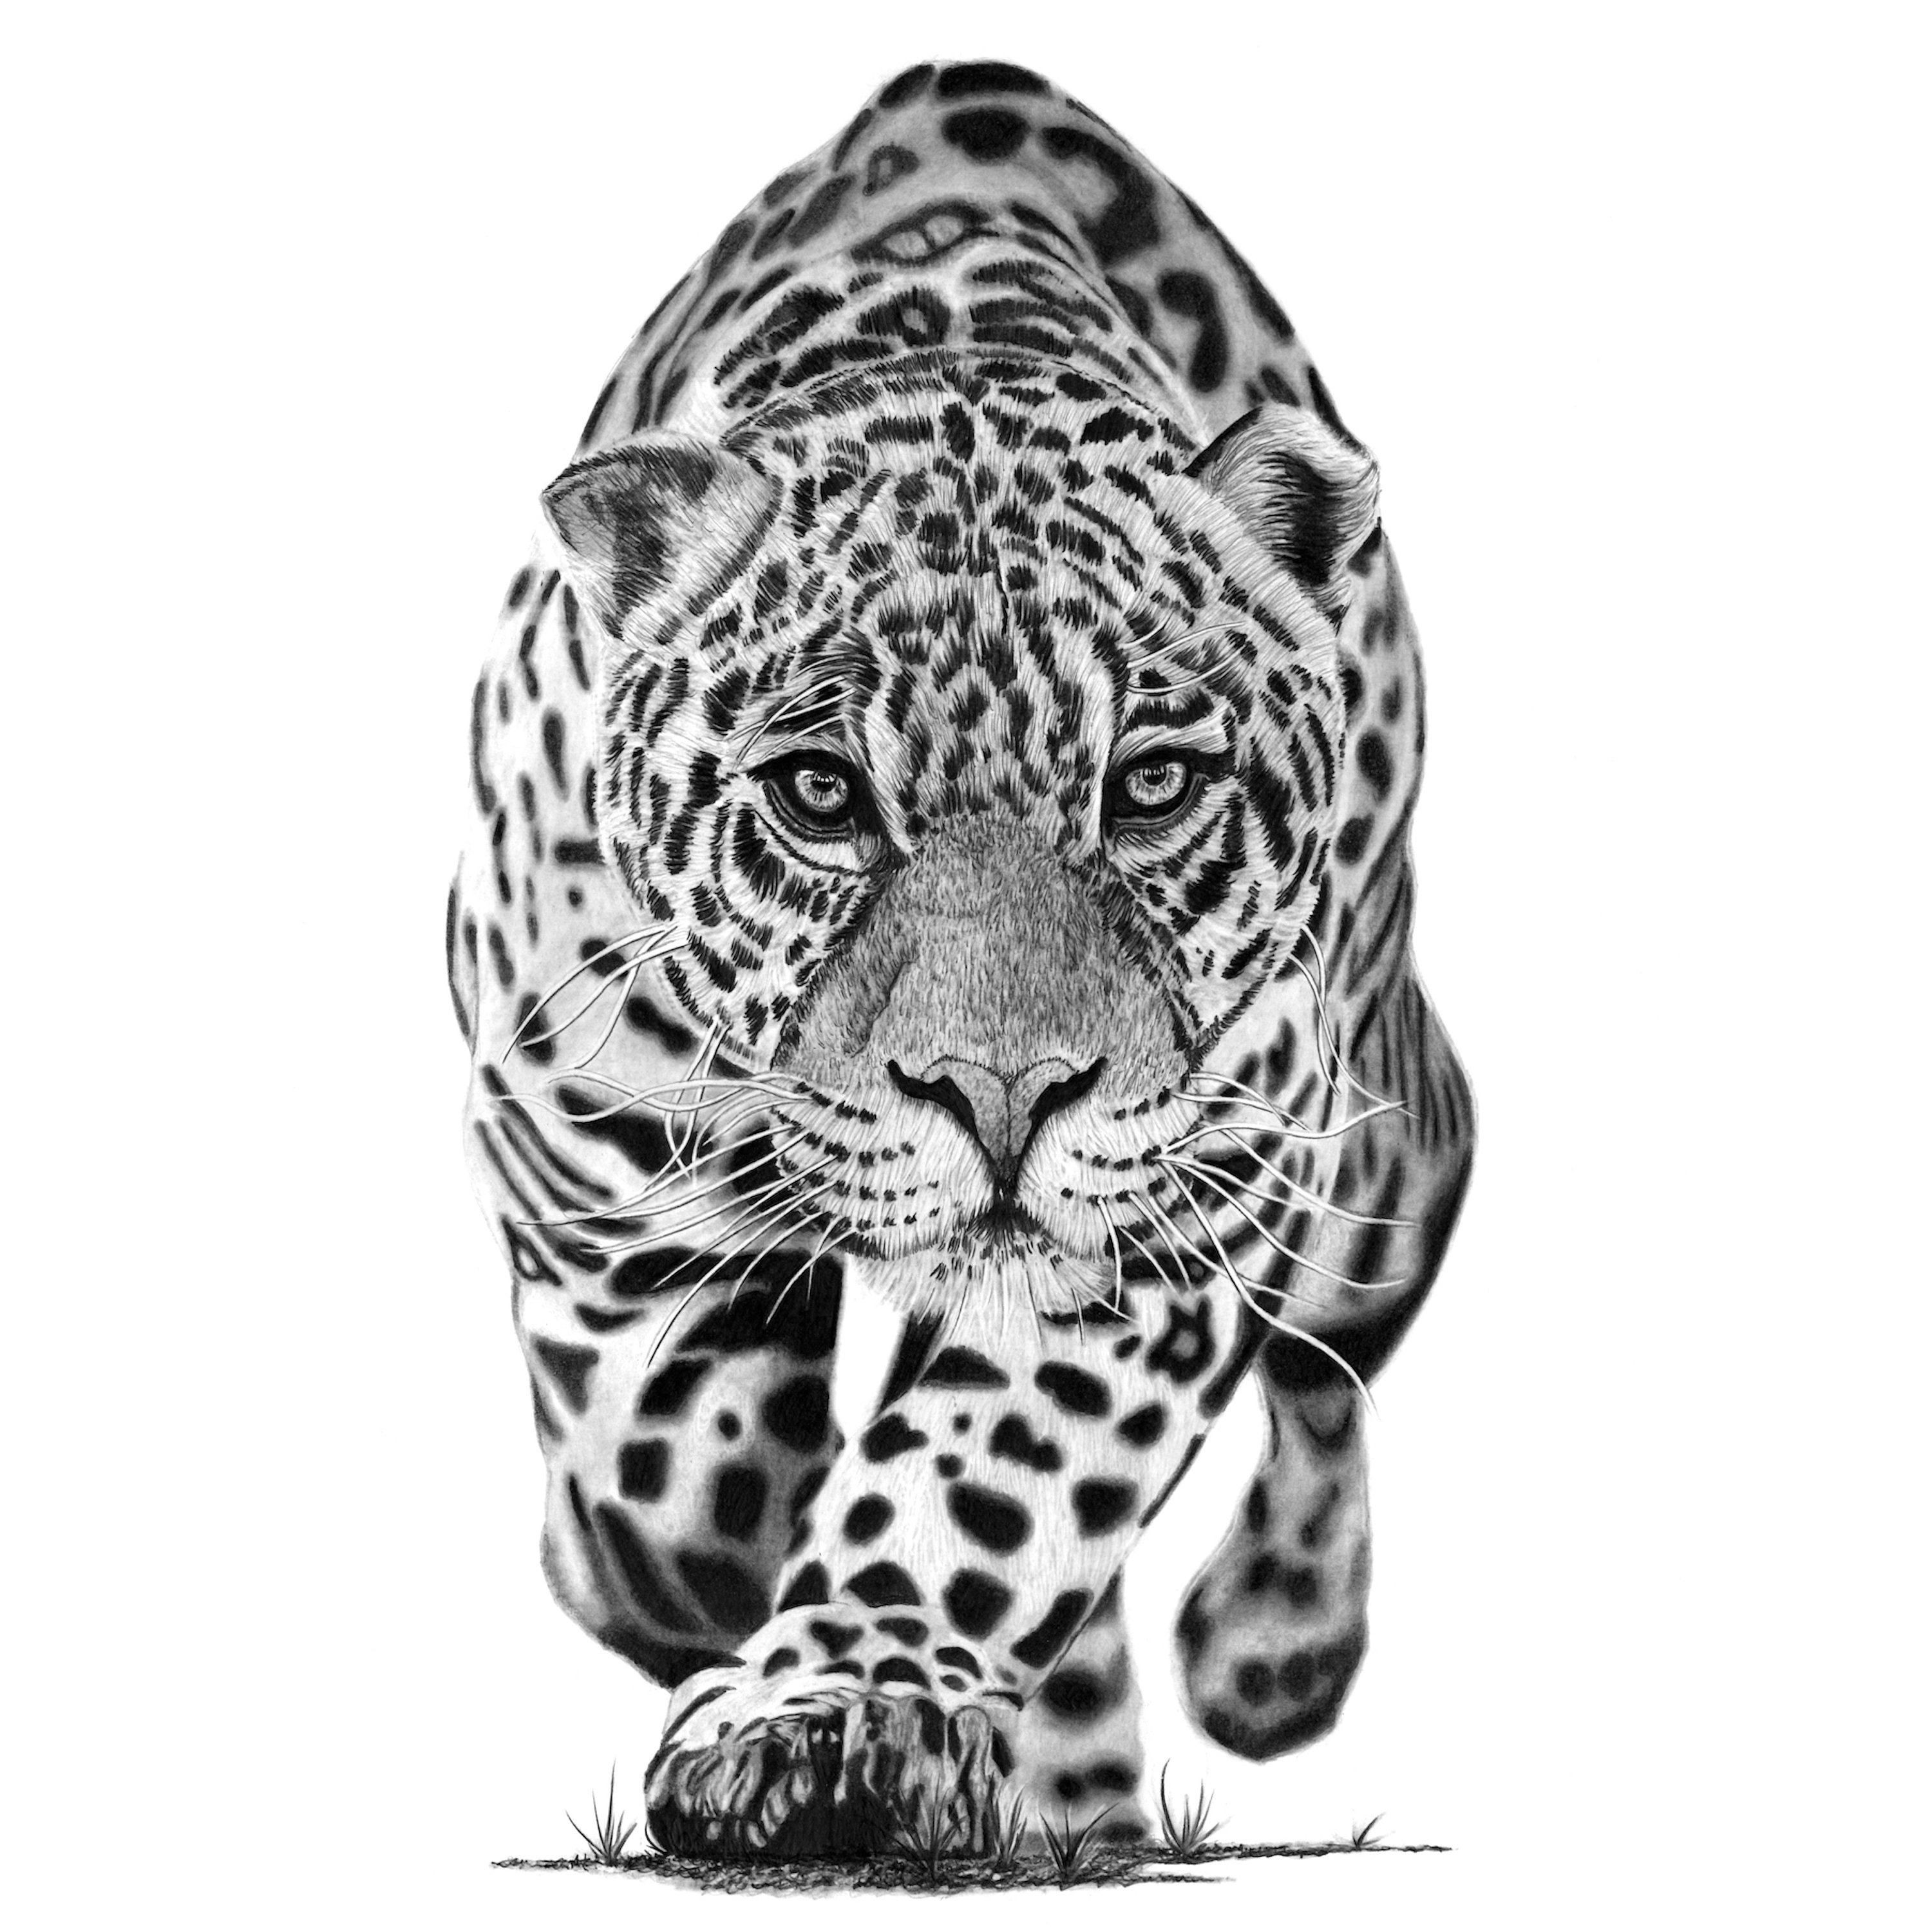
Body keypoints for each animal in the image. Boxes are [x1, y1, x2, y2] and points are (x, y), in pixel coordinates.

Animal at [447, 58, 1474, 1862]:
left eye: (1153, 785)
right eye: (816, 795)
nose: (1001, 1099)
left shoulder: (1187, 1184)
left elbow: (984, 1470)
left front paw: (824, 1709)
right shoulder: (576, 1147)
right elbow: (669, 1469)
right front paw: (696, 1576)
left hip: (1379, 1170)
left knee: (1336, 1341)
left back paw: (1269, 1646)